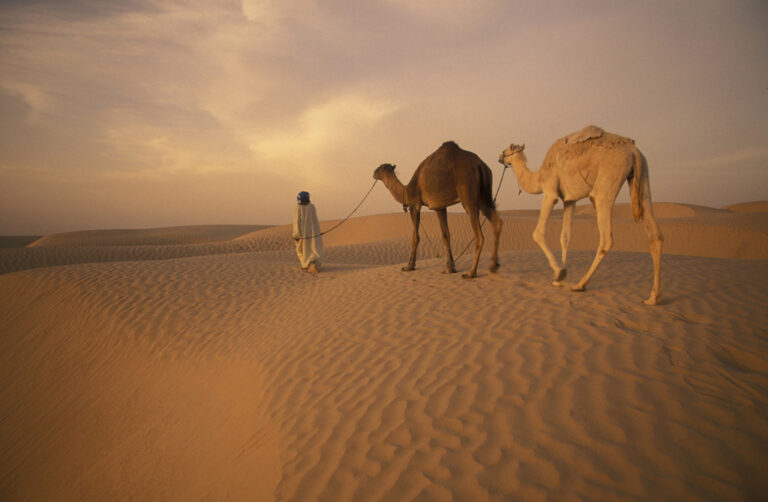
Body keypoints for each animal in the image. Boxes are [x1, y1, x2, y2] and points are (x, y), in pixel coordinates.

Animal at [374, 140, 504, 278]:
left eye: (381, 168)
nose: (373, 173)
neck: (406, 191)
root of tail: (480, 165)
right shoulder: (439, 206)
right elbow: (445, 235)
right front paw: (450, 268)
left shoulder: (414, 205)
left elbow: (415, 236)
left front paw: (409, 266)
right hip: (483, 196)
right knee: (496, 221)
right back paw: (493, 266)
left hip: (468, 194)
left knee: (479, 234)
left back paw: (471, 273)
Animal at [500, 126, 664, 306]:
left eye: (506, 150)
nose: (500, 157)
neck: (539, 176)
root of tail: (633, 151)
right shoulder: (569, 200)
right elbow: (565, 237)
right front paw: (560, 278)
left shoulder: (550, 193)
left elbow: (538, 233)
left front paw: (559, 274)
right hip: (643, 177)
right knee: (655, 234)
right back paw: (653, 297)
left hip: (608, 179)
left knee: (606, 236)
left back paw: (580, 284)